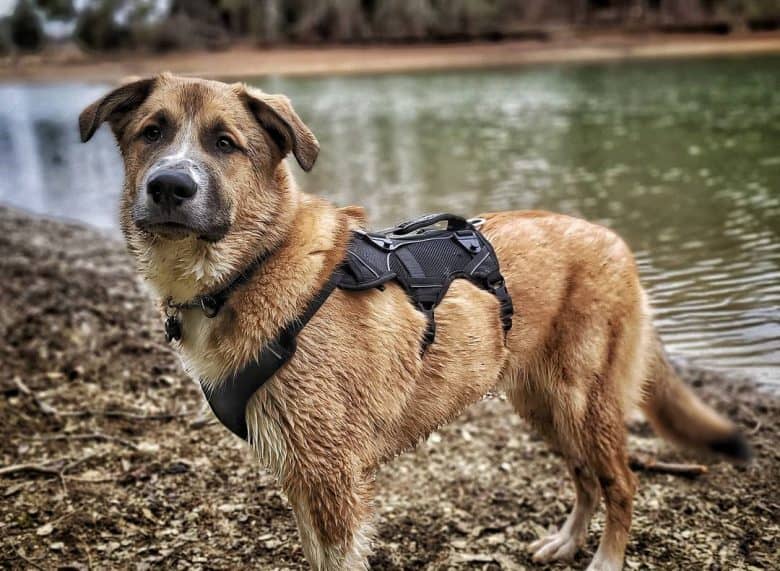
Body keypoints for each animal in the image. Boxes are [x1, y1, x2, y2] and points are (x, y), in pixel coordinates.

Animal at [79, 73, 748, 568]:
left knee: (622, 485)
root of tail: (615, 240)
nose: (170, 186)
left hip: (586, 401)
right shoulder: (300, 470)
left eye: (224, 143)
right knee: (585, 478)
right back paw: (566, 541)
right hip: (545, 405)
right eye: (152, 132)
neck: (251, 268)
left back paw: (605, 559)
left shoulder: (331, 476)